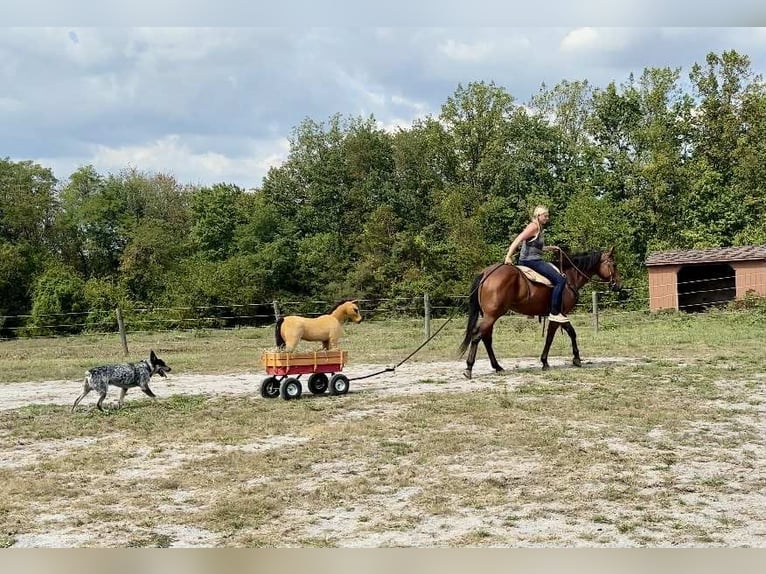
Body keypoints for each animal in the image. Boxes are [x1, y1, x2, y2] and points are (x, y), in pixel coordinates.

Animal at [459, 248, 622, 376]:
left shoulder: (558, 315)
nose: (618, 285)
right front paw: (558, 360)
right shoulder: (559, 314)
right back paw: (469, 368)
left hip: (489, 316)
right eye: (614, 264)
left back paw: (497, 367)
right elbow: (558, 335)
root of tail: (486, 273)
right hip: (492, 315)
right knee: (477, 336)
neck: (569, 278)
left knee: (486, 338)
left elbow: (565, 333)